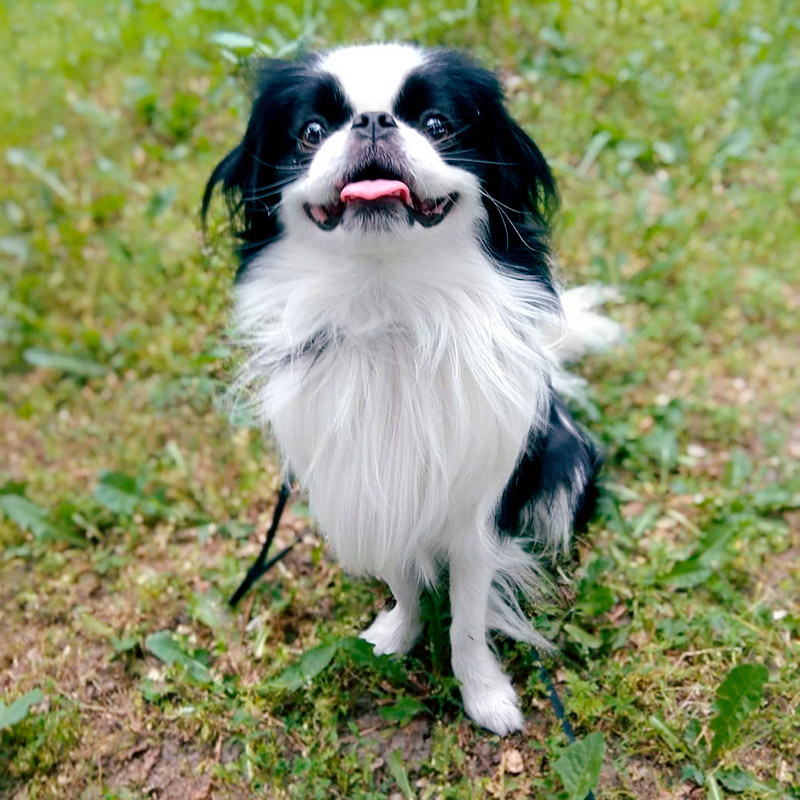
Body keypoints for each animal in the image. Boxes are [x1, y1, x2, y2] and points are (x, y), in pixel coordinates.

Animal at [203, 42, 620, 732]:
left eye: (437, 125)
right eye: (310, 132)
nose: (373, 121)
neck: (391, 312)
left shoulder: (477, 513)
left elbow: (469, 619)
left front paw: (484, 694)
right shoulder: (377, 489)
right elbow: (403, 580)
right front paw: (398, 634)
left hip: (564, 470)